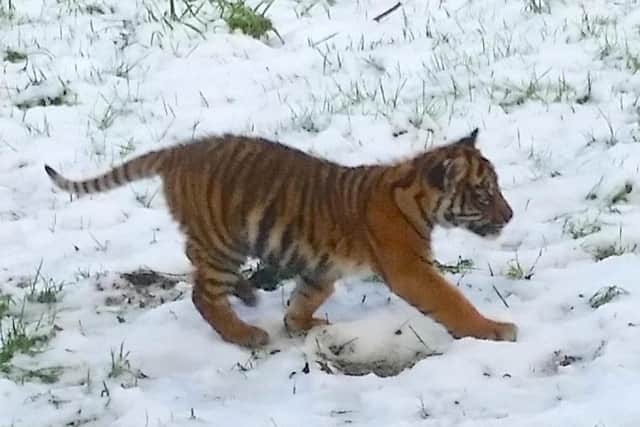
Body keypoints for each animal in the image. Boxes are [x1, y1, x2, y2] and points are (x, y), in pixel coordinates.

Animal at [44, 128, 517, 348]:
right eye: (485, 193)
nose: (510, 216)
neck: (416, 196)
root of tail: (181, 150)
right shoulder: (410, 269)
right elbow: (451, 301)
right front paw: (493, 329)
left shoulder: (321, 267)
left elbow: (308, 295)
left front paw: (301, 324)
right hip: (224, 242)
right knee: (202, 292)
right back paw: (243, 333)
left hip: (215, 240)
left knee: (192, 258)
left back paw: (247, 296)